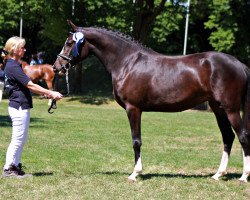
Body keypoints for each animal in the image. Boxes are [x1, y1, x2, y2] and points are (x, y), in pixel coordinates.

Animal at [52, 20, 250, 183]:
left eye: (69, 43)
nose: (56, 67)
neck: (127, 62)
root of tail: (239, 64)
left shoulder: (133, 109)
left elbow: (136, 141)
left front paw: (135, 173)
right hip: (218, 109)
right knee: (228, 137)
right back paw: (218, 174)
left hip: (231, 109)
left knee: (242, 136)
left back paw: (243, 176)